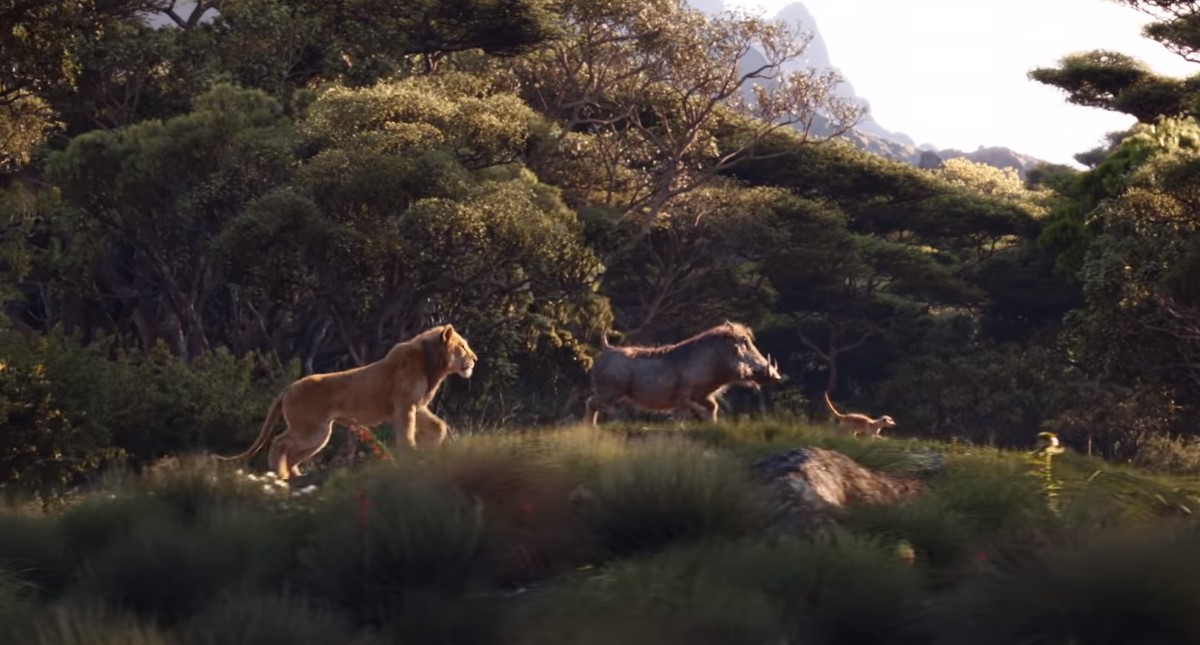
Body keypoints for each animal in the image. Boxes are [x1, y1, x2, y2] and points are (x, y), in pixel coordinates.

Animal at [218, 324, 478, 480]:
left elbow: (439, 426)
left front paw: (430, 450)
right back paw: (280, 475)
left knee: (292, 452)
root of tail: (288, 388)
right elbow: (407, 434)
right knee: (279, 442)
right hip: (311, 430)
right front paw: (411, 456)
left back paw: (295, 475)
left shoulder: (417, 406)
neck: (433, 365)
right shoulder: (404, 406)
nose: (475, 359)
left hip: (319, 435)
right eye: (462, 346)